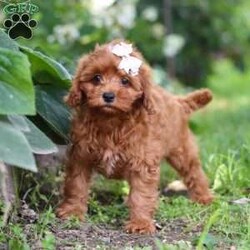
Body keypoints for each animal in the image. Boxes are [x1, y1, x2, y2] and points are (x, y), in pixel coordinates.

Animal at [56, 41, 213, 234]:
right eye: (96, 78)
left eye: (125, 81)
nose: (108, 95)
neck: (111, 121)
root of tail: (177, 101)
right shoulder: (80, 155)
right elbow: (76, 184)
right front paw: (72, 211)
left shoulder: (143, 162)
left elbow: (141, 194)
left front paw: (141, 223)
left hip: (182, 150)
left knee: (194, 172)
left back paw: (203, 197)